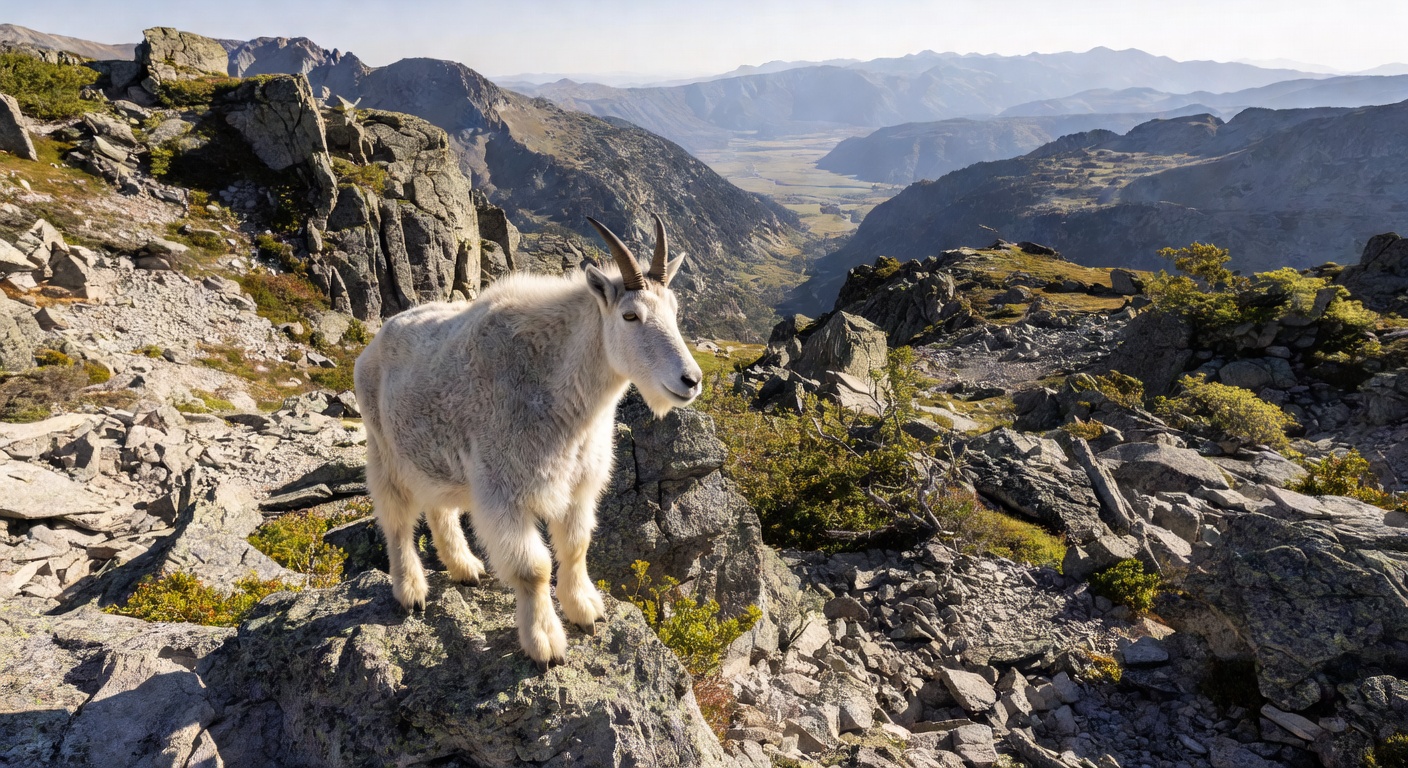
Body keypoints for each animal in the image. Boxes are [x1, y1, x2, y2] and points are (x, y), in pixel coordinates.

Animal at [354, 214, 704, 666]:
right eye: (630, 316)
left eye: (675, 311)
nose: (690, 380)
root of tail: (374, 343)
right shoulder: (505, 492)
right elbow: (533, 569)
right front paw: (546, 644)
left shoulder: (577, 485)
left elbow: (575, 546)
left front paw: (586, 610)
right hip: (384, 450)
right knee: (395, 519)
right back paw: (411, 591)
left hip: (435, 458)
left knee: (439, 508)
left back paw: (465, 568)